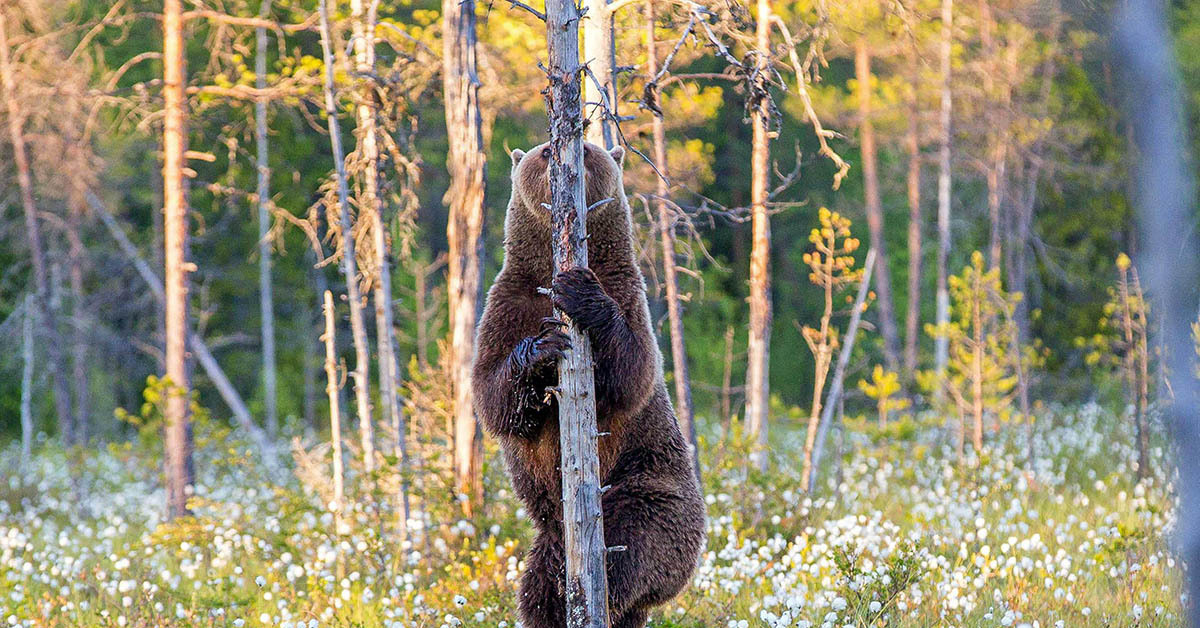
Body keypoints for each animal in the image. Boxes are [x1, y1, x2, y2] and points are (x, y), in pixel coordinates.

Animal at [472, 142, 705, 628]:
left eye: (589, 148)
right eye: (544, 151)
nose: (563, 151)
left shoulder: (627, 290)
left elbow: (632, 372)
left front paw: (579, 291)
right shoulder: (508, 303)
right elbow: (491, 393)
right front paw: (541, 349)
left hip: (651, 496)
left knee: (628, 550)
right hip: (551, 533)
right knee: (537, 588)